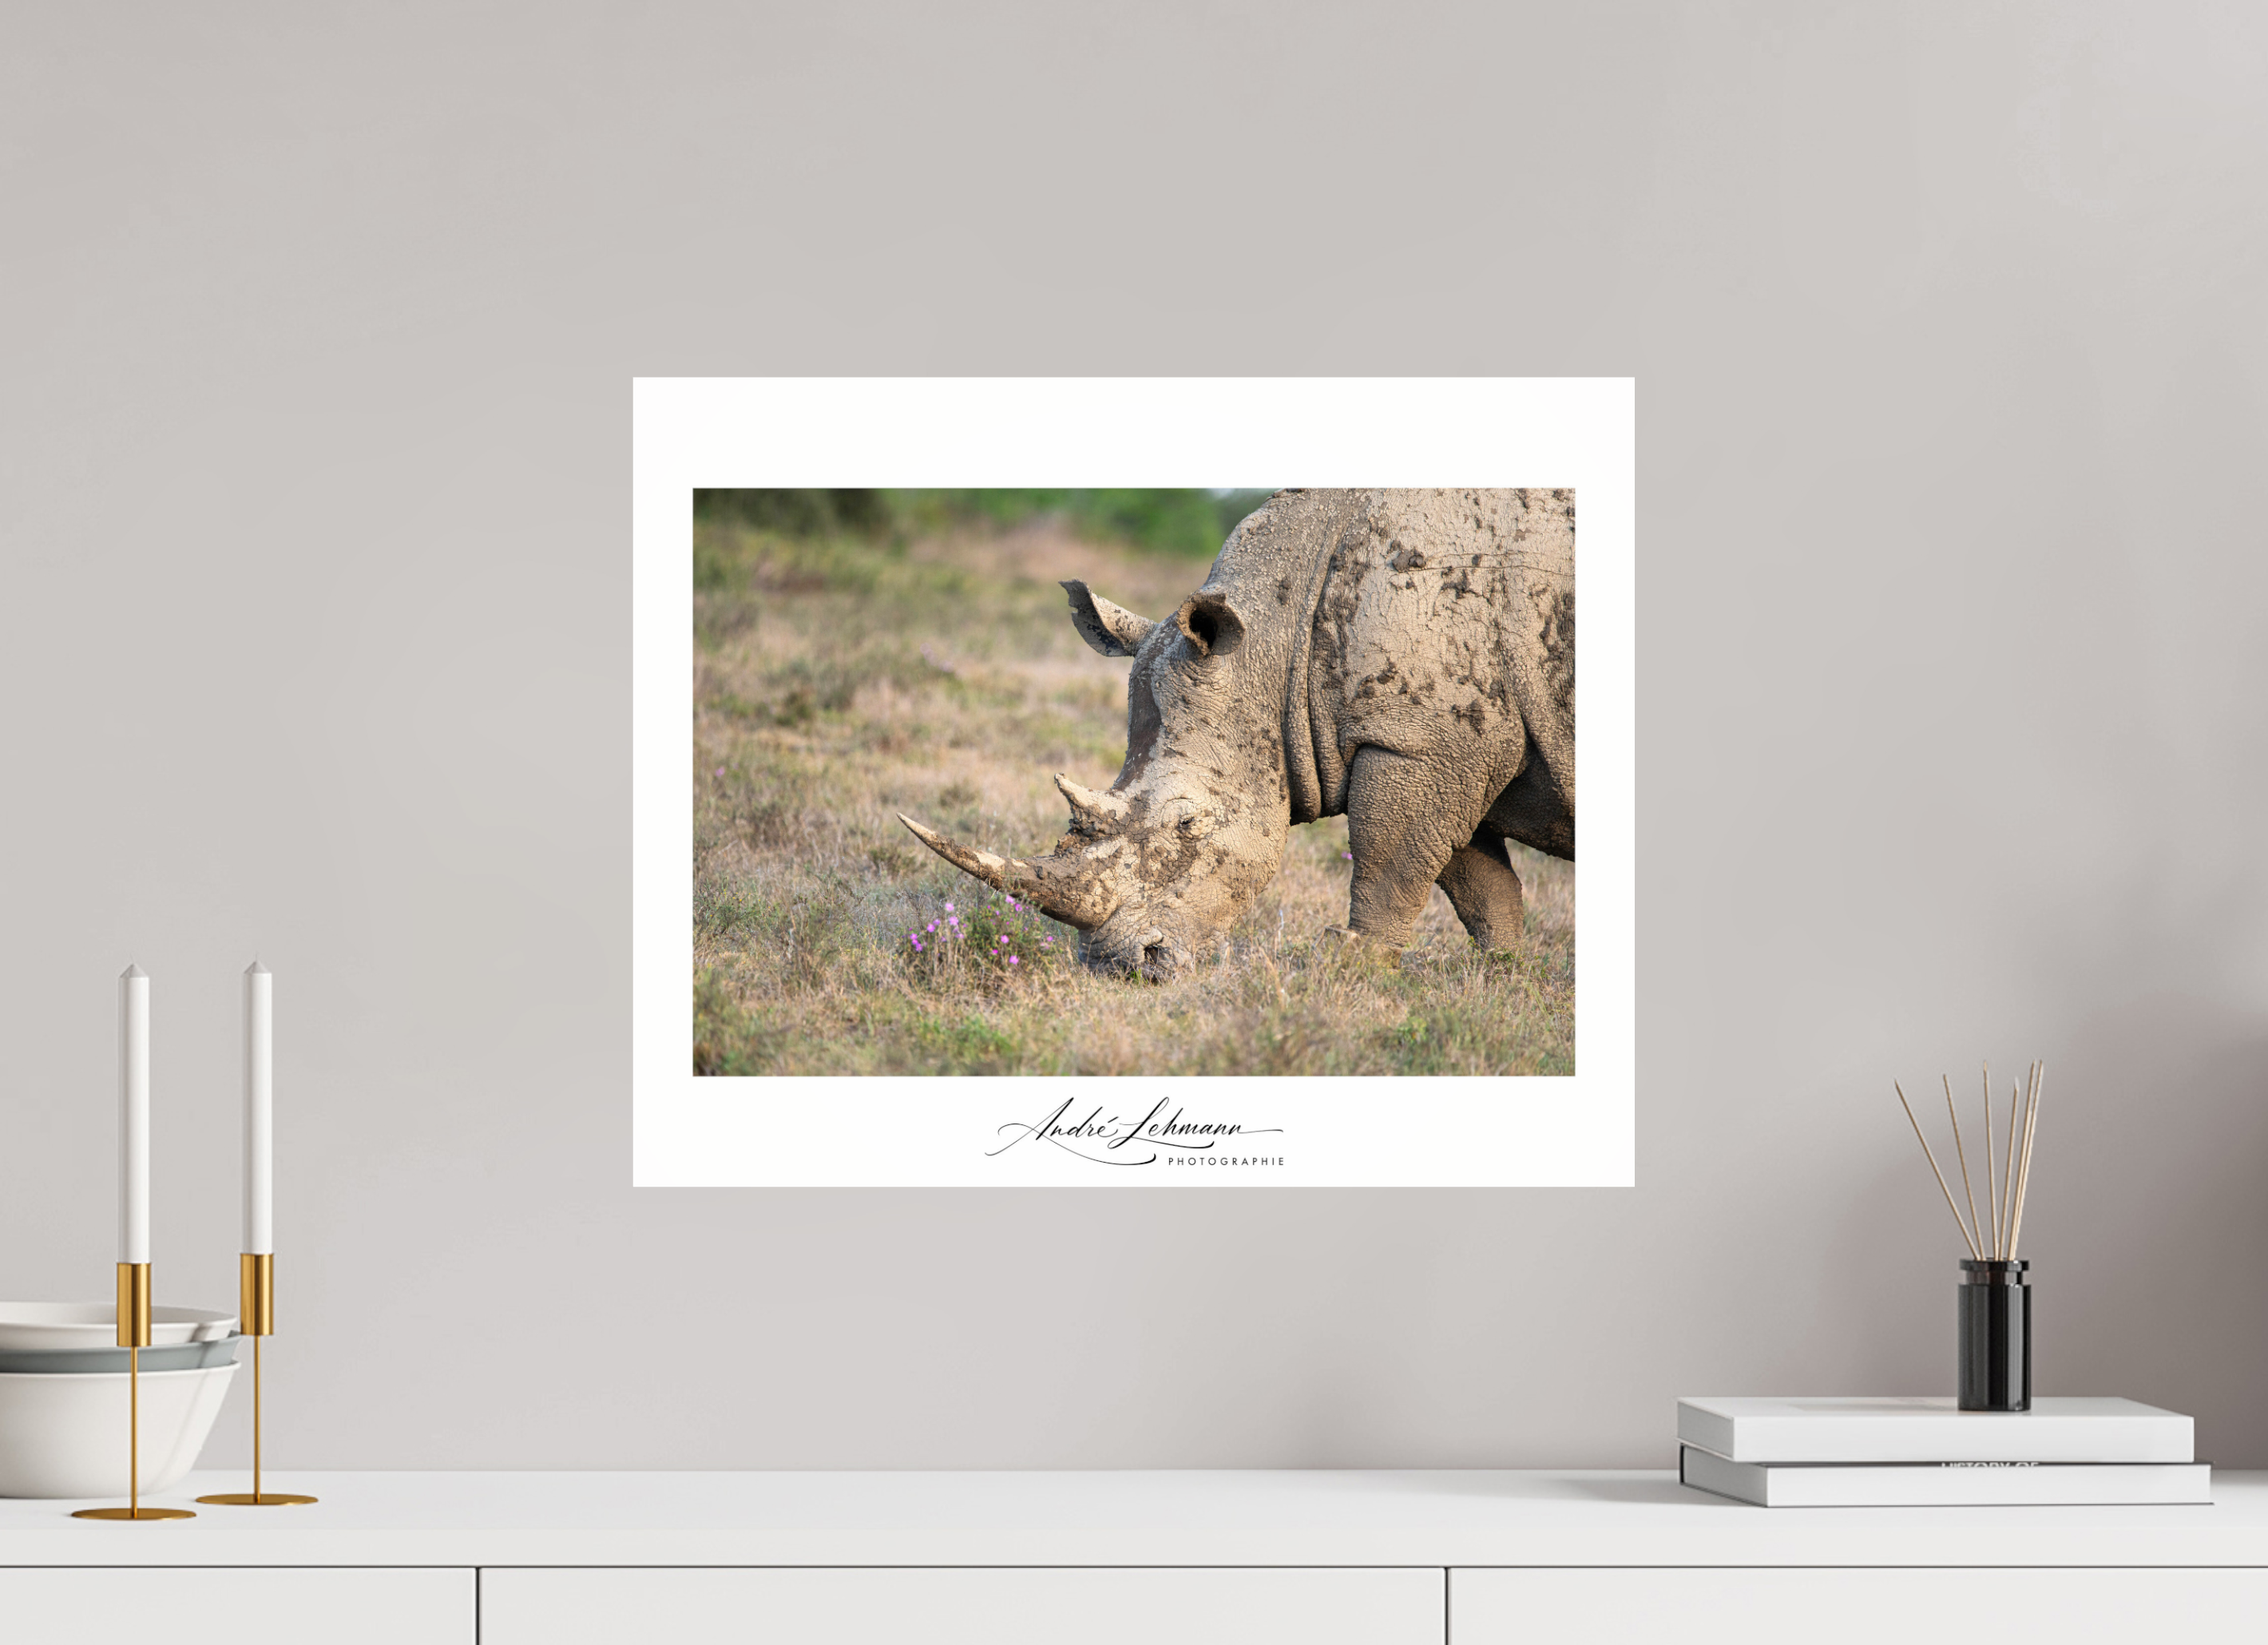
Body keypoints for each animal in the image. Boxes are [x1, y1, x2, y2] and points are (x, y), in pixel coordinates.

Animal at [900, 488, 1573, 977]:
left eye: (1187, 824)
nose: (1124, 968)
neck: (1278, 643)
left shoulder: (1419, 742)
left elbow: (1390, 861)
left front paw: (1356, 968)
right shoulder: (1447, 744)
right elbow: (1479, 883)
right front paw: (1505, 977)